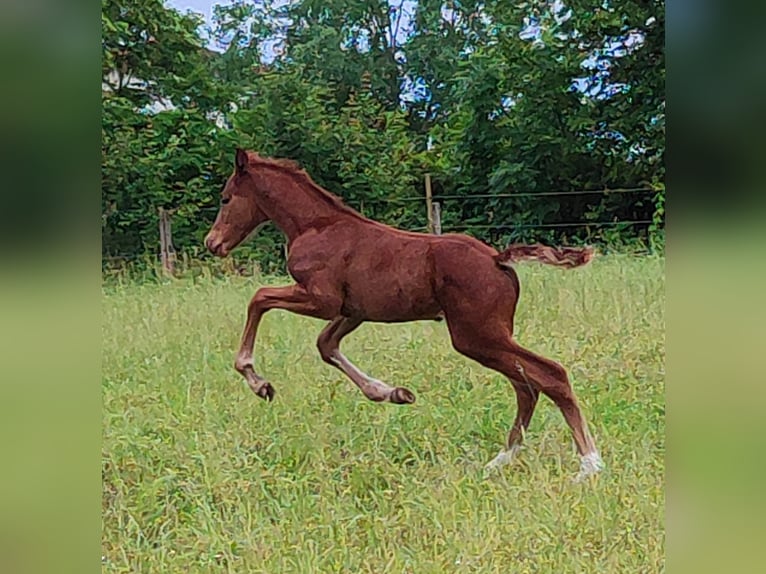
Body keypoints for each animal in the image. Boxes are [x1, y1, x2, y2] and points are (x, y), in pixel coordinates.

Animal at [204, 148, 608, 482]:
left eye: (225, 197)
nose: (213, 243)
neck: (317, 226)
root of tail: (498, 259)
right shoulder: (355, 311)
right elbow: (325, 344)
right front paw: (393, 393)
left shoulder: (321, 300)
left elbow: (259, 299)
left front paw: (259, 382)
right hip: (489, 336)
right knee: (527, 385)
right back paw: (501, 460)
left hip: (476, 336)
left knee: (549, 375)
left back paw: (588, 464)